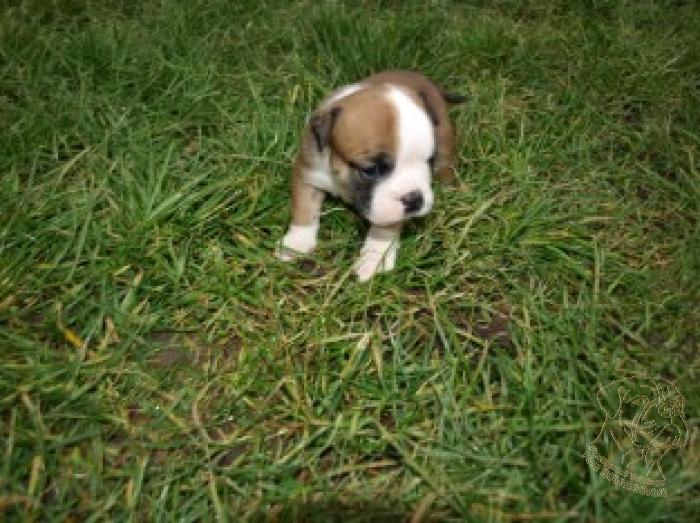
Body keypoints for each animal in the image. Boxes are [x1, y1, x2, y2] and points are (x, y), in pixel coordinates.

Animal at [276, 70, 465, 281]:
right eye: (371, 170)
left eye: (429, 160)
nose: (415, 200)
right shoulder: (307, 173)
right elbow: (304, 209)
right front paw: (296, 243)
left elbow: (384, 230)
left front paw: (374, 258)